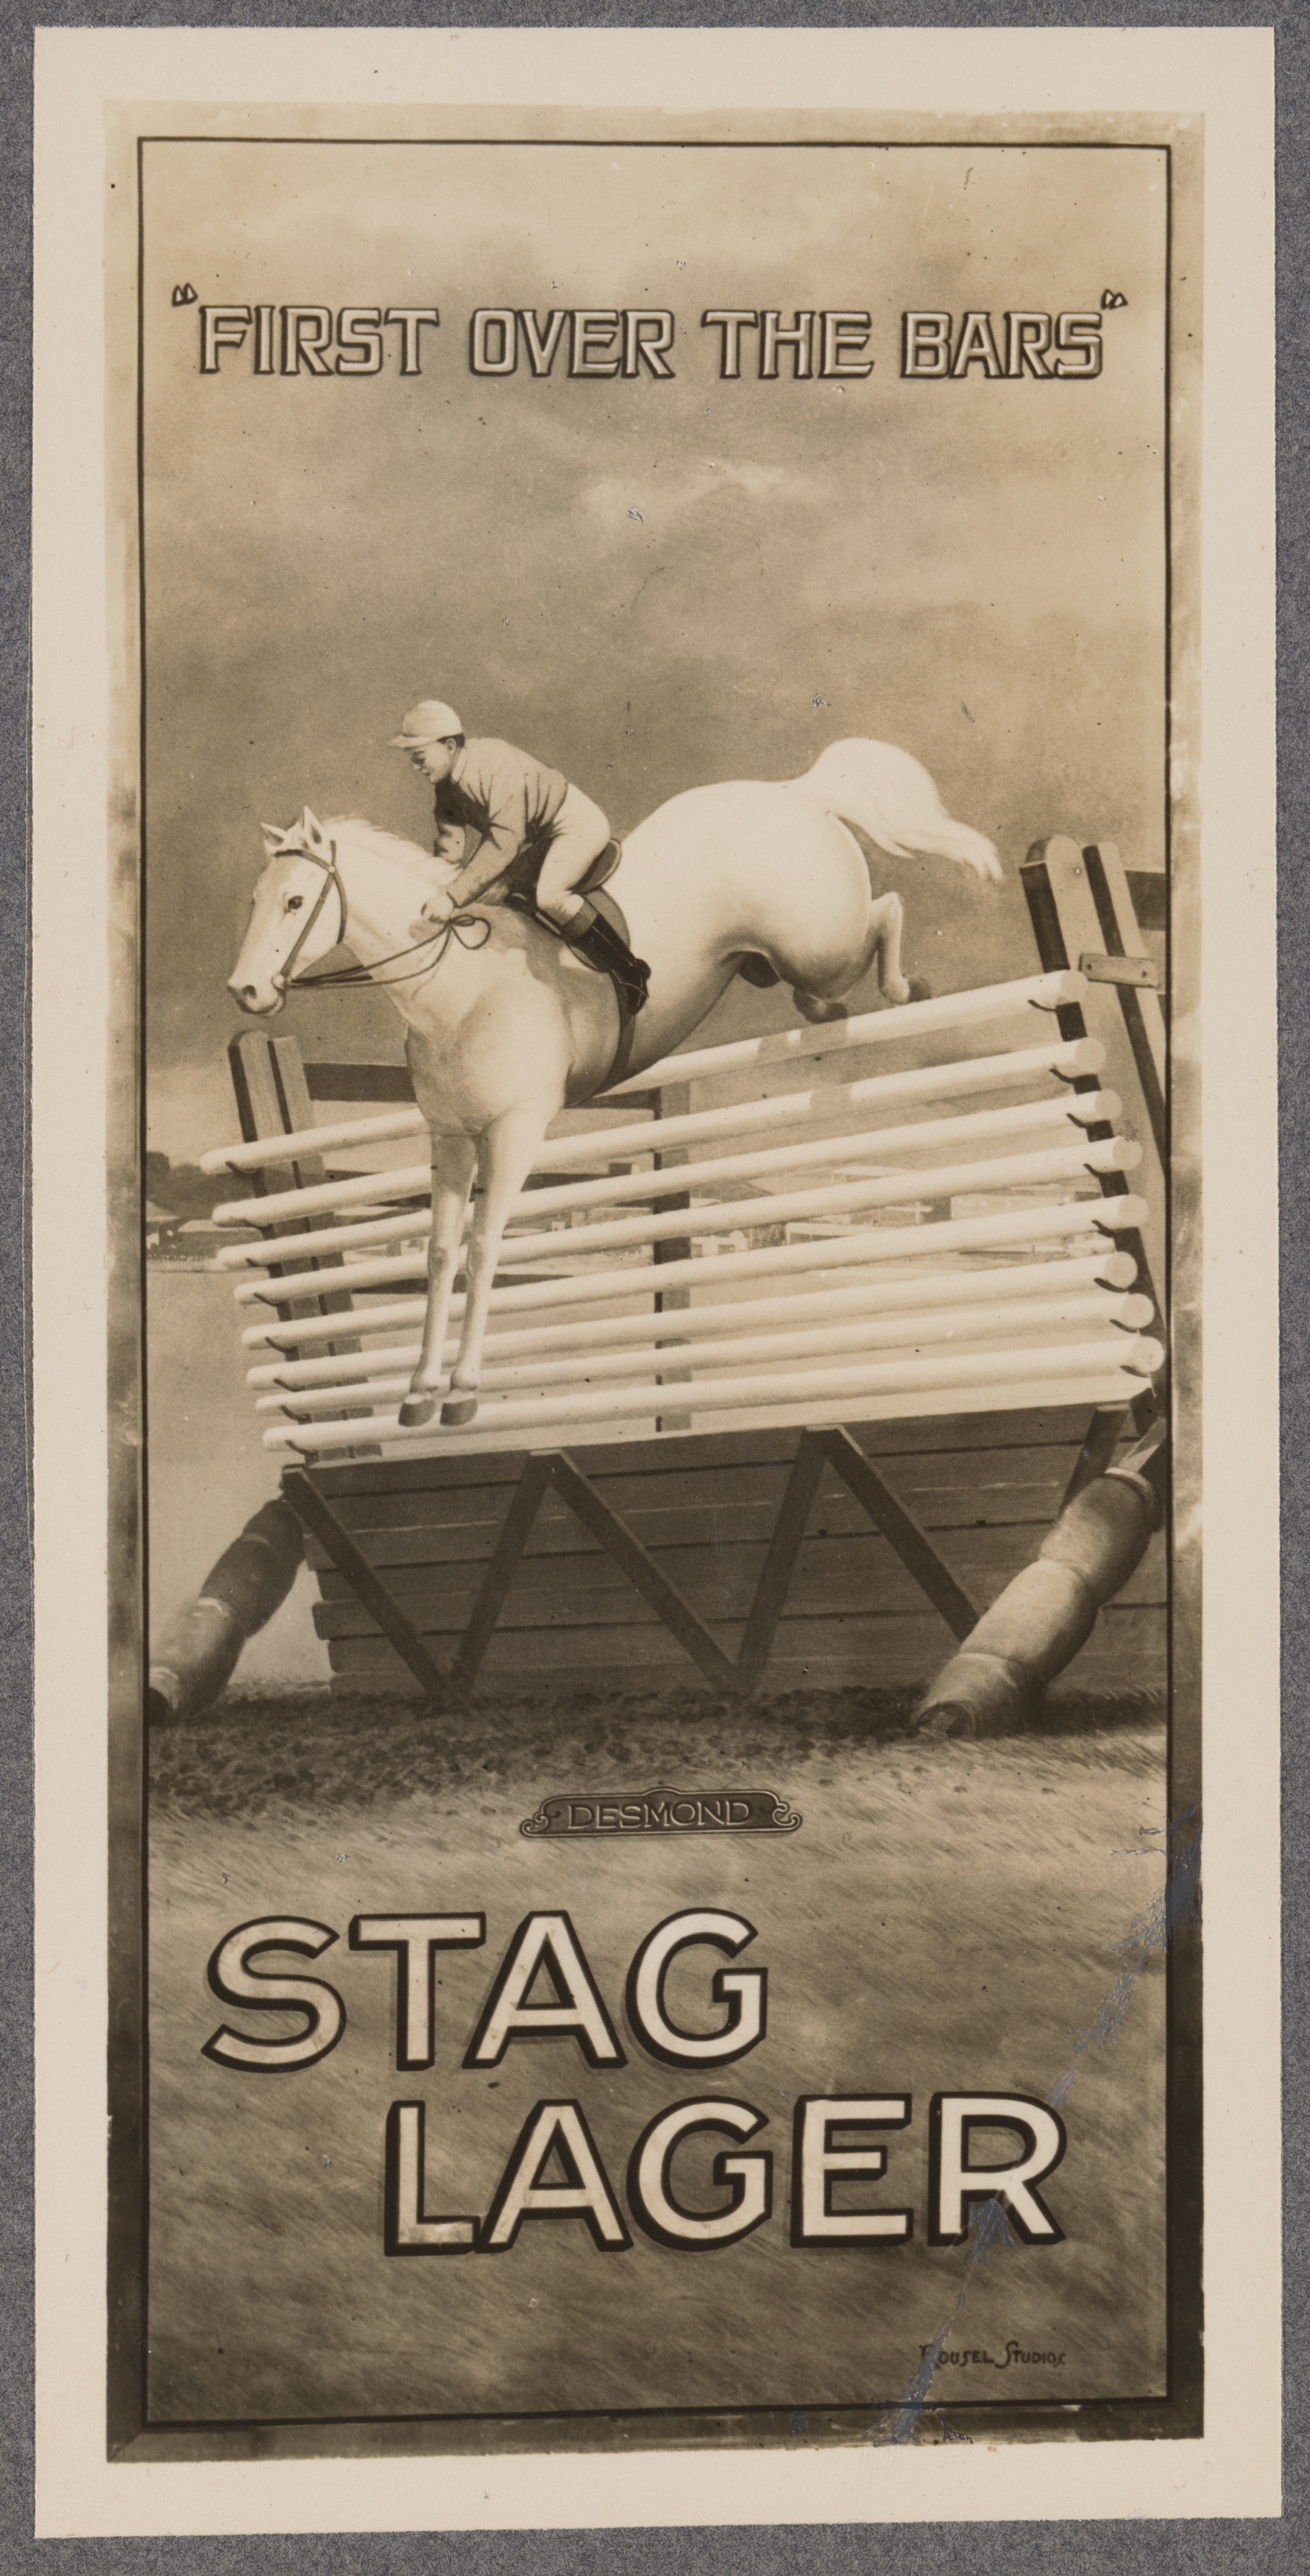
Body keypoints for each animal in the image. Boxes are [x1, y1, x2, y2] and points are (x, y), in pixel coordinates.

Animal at [230, 742, 993, 1432]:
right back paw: (829, 1013)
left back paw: (907, 988)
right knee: (824, 977)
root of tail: (795, 791)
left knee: (886, 911)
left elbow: (484, 1247)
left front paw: (464, 1390)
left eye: (295, 900)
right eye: (255, 899)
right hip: (785, 961)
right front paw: (417, 1392)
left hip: (819, 942)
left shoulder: (515, 1129)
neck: (455, 985)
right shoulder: (450, 1136)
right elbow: (441, 1254)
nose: (246, 992)